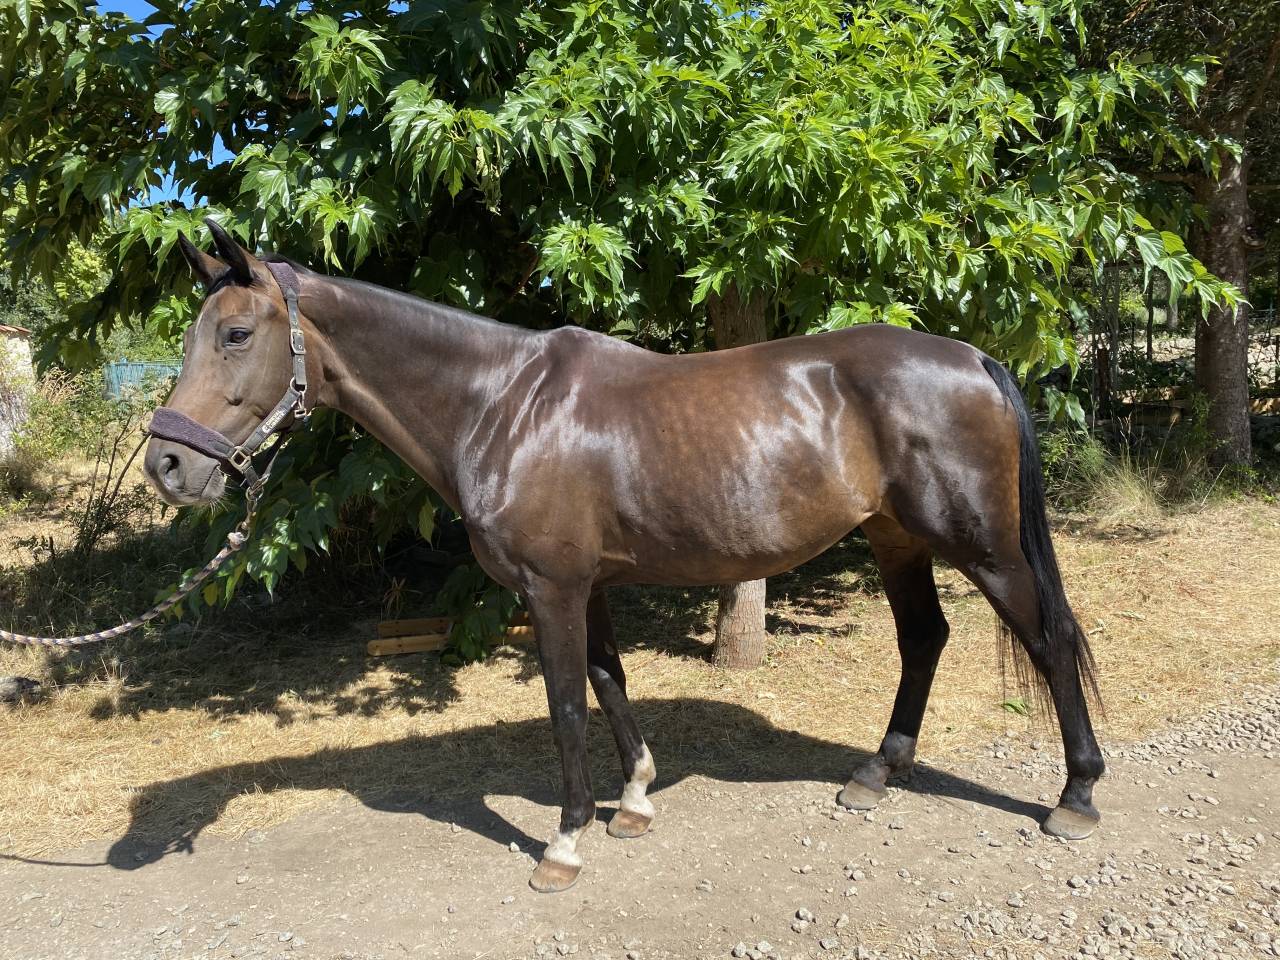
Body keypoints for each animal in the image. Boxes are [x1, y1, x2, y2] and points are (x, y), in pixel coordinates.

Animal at [143, 220, 1104, 893]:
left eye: (235, 334)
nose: (168, 465)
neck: (502, 405)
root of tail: (973, 357)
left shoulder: (552, 589)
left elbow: (568, 705)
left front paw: (564, 844)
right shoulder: (589, 585)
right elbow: (610, 684)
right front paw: (635, 801)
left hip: (983, 548)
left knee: (1051, 642)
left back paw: (1076, 798)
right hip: (896, 538)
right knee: (924, 640)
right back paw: (874, 775)